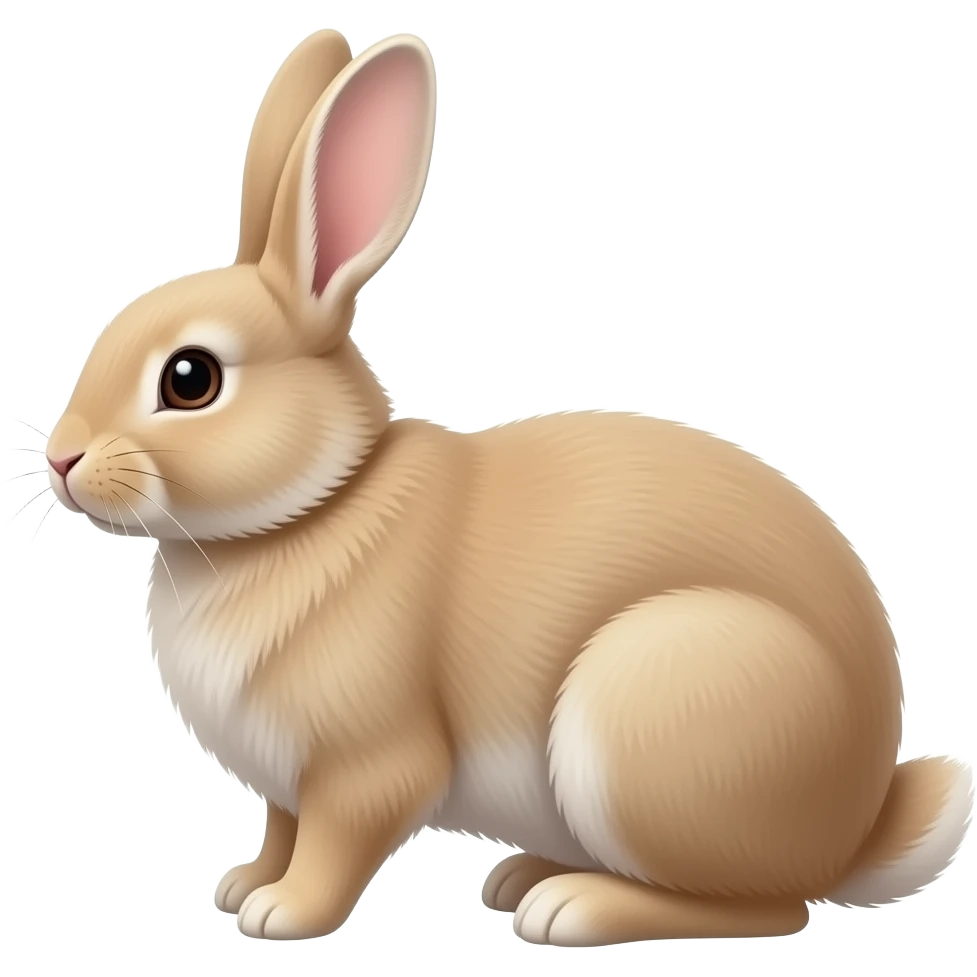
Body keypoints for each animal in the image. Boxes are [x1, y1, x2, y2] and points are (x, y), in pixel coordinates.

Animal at [45, 28, 973, 947]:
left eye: (190, 379)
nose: (60, 458)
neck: (313, 505)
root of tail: (857, 824)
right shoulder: (287, 784)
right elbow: (281, 827)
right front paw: (242, 885)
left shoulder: (365, 764)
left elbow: (337, 842)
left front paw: (283, 912)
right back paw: (522, 875)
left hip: (649, 715)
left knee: (768, 906)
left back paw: (569, 907)